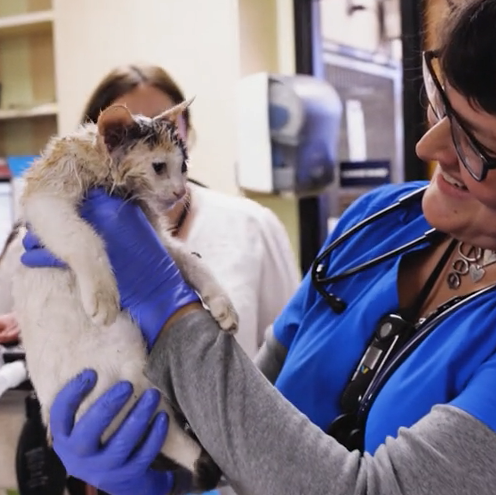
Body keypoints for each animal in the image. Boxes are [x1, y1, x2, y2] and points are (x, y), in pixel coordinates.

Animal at [10, 101, 238, 492]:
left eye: (183, 166)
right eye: (159, 166)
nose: (180, 192)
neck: (114, 189)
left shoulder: (157, 239)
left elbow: (189, 263)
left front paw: (222, 304)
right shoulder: (46, 200)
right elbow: (82, 236)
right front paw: (102, 292)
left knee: (158, 428)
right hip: (124, 382)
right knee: (158, 428)